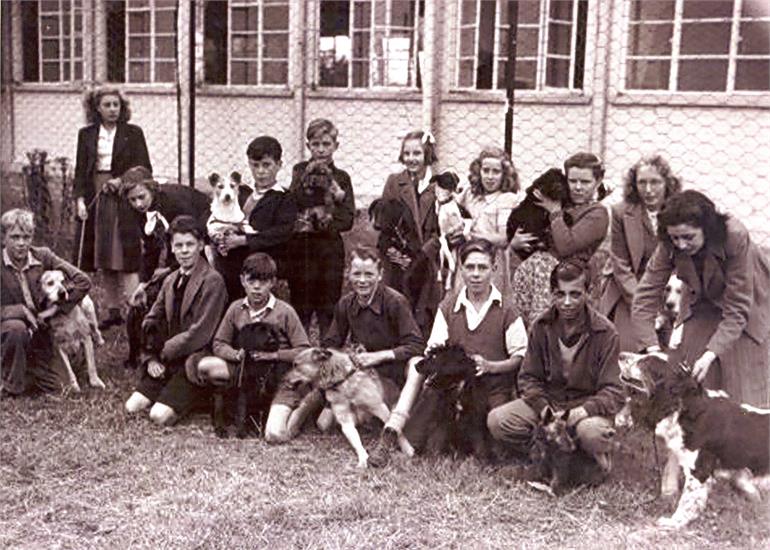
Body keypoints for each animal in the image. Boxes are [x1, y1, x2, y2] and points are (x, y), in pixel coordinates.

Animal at [284, 350, 414, 470]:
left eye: (296, 365)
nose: (284, 380)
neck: (342, 383)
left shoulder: (380, 408)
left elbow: (396, 430)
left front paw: (407, 448)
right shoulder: (346, 422)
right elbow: (356, 442)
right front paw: (363, 458)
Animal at [616, 354, 768, 532]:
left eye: (646, 362)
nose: (621, 355)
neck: (688, 408)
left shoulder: (698, 470)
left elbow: (686, 500)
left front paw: (674, 522)